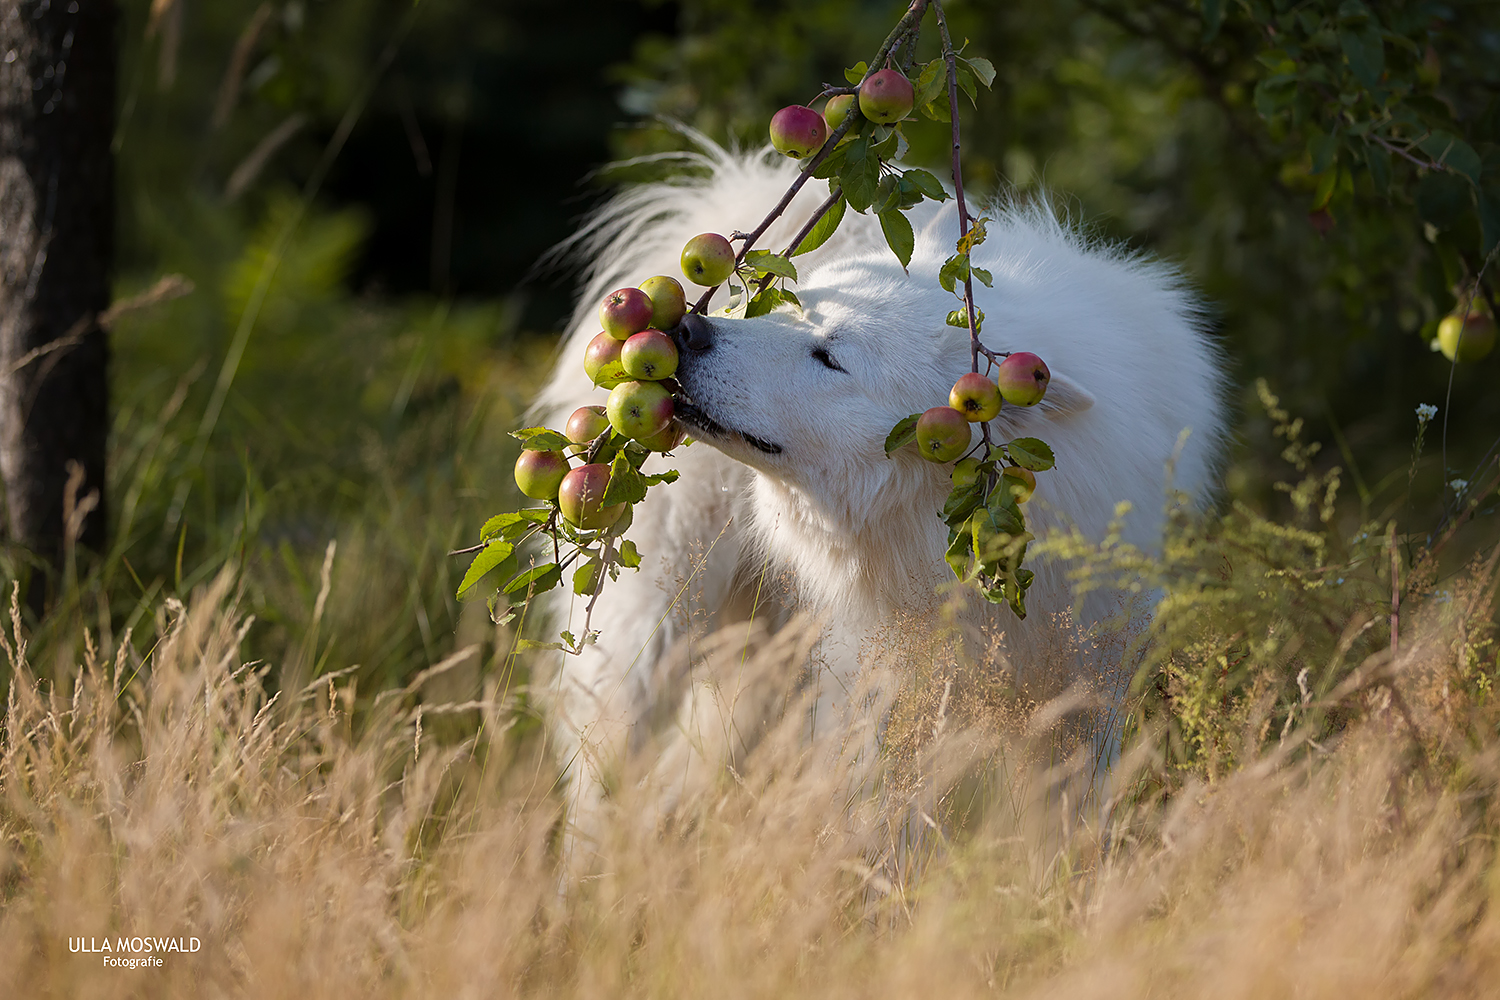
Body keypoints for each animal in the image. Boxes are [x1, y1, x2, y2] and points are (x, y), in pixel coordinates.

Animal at [534, 132, 1224, 839]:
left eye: (830, 357)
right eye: (792, 314)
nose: (687, 330)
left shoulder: (1082, 689)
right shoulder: (880, 681)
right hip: (657, 629)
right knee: (601, 772)